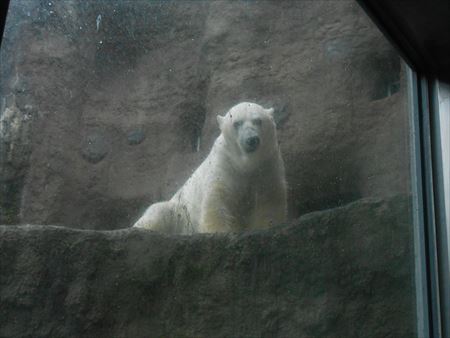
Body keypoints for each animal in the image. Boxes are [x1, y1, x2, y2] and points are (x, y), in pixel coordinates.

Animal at [134, 102, 288, 235]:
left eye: (258, 120)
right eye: (236, 123)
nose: (251, 139)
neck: (245, 163)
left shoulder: (267, 164)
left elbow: (269, 201)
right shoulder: (224, 163)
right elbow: (216, 201)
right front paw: (219, 231)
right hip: (180, 214)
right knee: (158, 212)